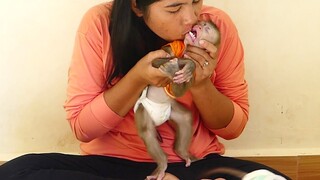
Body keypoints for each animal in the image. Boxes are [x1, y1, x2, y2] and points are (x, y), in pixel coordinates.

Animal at [133, 21, 220, 180]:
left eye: (206, 29)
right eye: (202, 23)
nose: (198, 25)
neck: (186, 50)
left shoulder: (195, 75)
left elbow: (180, 90)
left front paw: (186, 66)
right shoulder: (173, 46)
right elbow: (156, 59)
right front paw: (179, 64)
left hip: (172, 109)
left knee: (185, 118)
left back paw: (182, 153)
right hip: (143, 109)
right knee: (147, 131)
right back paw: (162, 164)